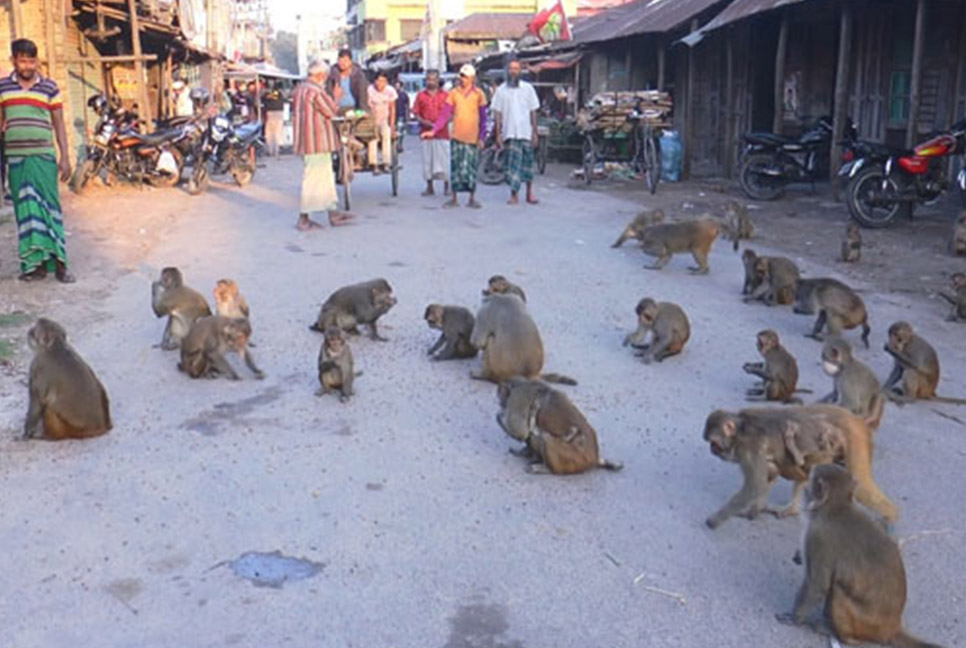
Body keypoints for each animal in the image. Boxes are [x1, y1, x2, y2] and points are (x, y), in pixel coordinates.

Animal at [496, 378, 624, 474]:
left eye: (501, 395)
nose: (500, 400)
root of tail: (594, 458)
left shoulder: (517, 400)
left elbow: (521, 432)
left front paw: (499, 416)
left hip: (573, 458)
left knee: (544, 437)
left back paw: (546, 469)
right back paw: (529, 454)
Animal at [704, 408, 900, 528]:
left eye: (714, 443)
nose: (712, 450)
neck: (741, 428)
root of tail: (857, 421)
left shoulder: (749, 447)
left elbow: (756, 485)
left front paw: (715, 520)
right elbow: (769, 475)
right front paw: (754, 510)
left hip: (843, 444)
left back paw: (890, 518)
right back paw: (792, 508)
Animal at [776, 466, 948, 648]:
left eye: (809, 483)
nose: (804, 490)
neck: (837, 508)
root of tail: (892, 628)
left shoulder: (818, 537)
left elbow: (817, 585)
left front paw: (794, 619)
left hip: (865, 625)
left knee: (837, 588)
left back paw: (845, 637)